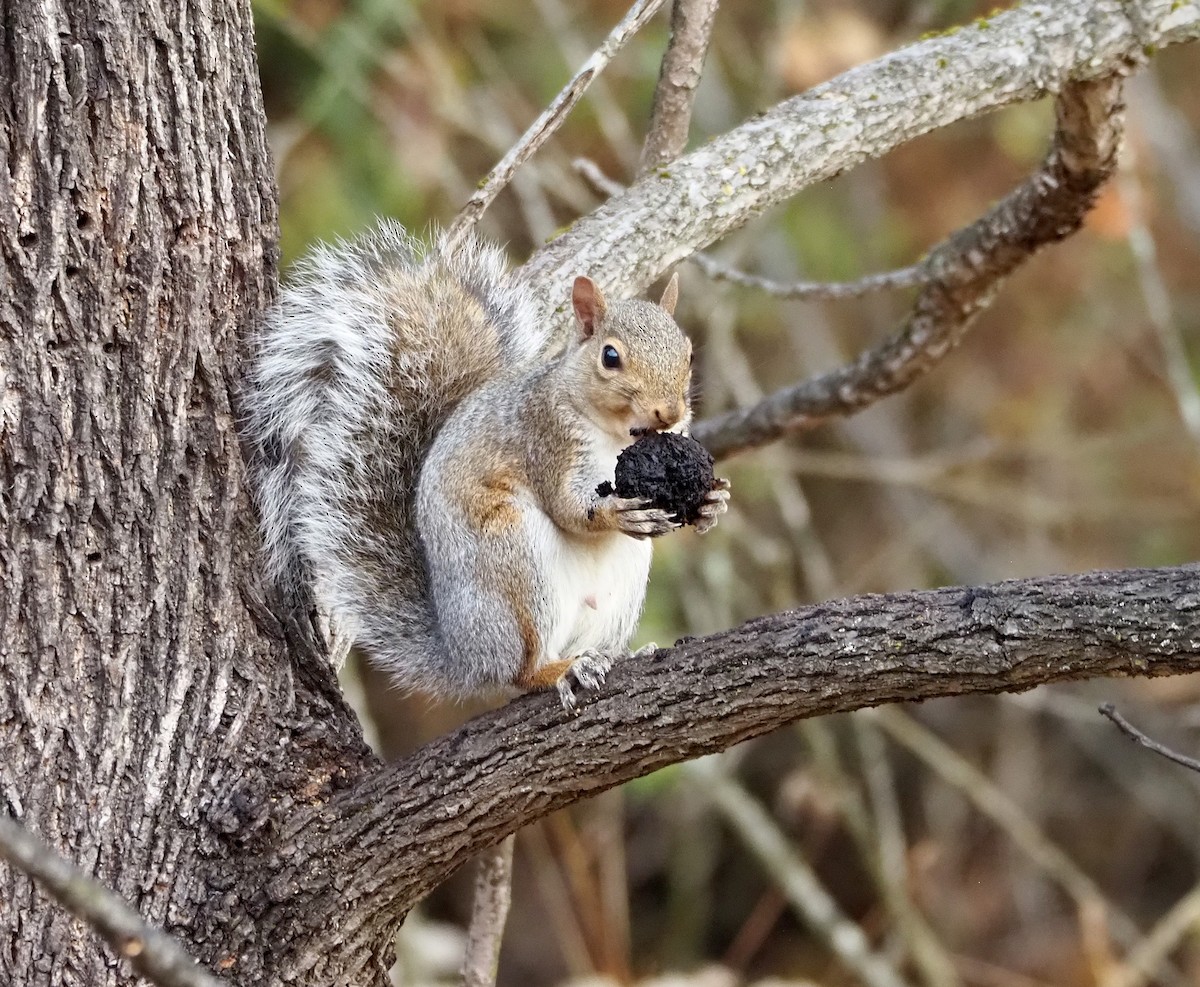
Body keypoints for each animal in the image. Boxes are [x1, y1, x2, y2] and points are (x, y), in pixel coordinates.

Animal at [244, 221, 729, 709]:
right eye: (610, 357)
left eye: (688, 353)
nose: (669, 412)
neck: (617, 434)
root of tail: (464, 656)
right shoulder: (546, 438)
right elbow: (568, 508)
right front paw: (615, 511)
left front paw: (712, 503)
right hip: (513, 562)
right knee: (521, 671)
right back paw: (560, 669)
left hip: (620, 584)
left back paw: (616, 656)